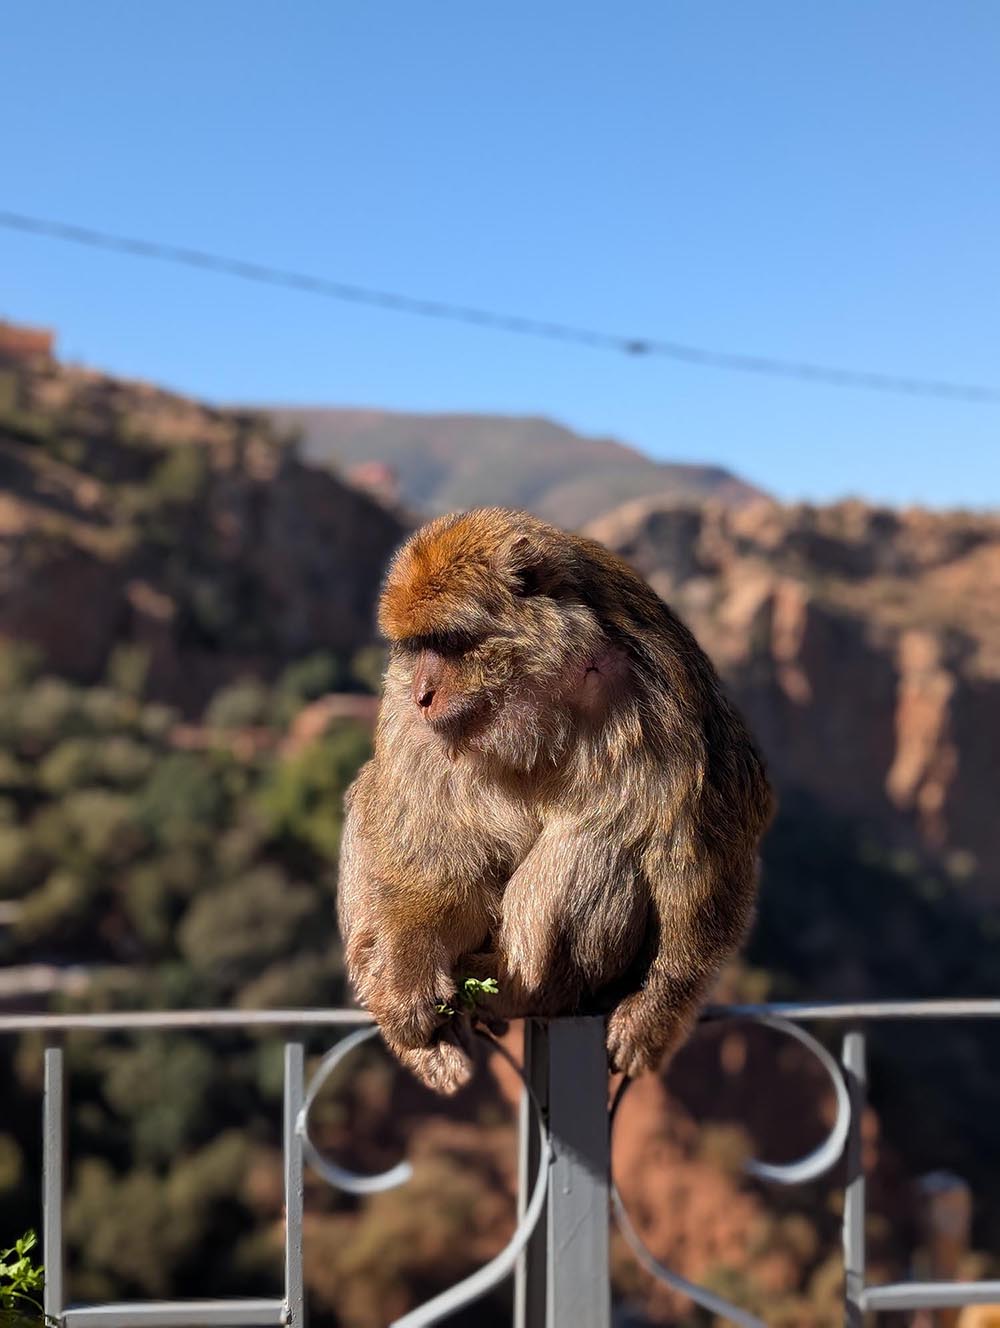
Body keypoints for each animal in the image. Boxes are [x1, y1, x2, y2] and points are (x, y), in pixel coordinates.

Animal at [336, 507, 773, 1094]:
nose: (423, 693)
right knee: (373, 798)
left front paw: (657, 1010)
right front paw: (407, 977)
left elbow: (703, 842)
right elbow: (428, 848)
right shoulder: (409, 720)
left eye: (448, 641)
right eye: (416, 646)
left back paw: (517, 983)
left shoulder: (669, 694)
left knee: (596, 843)